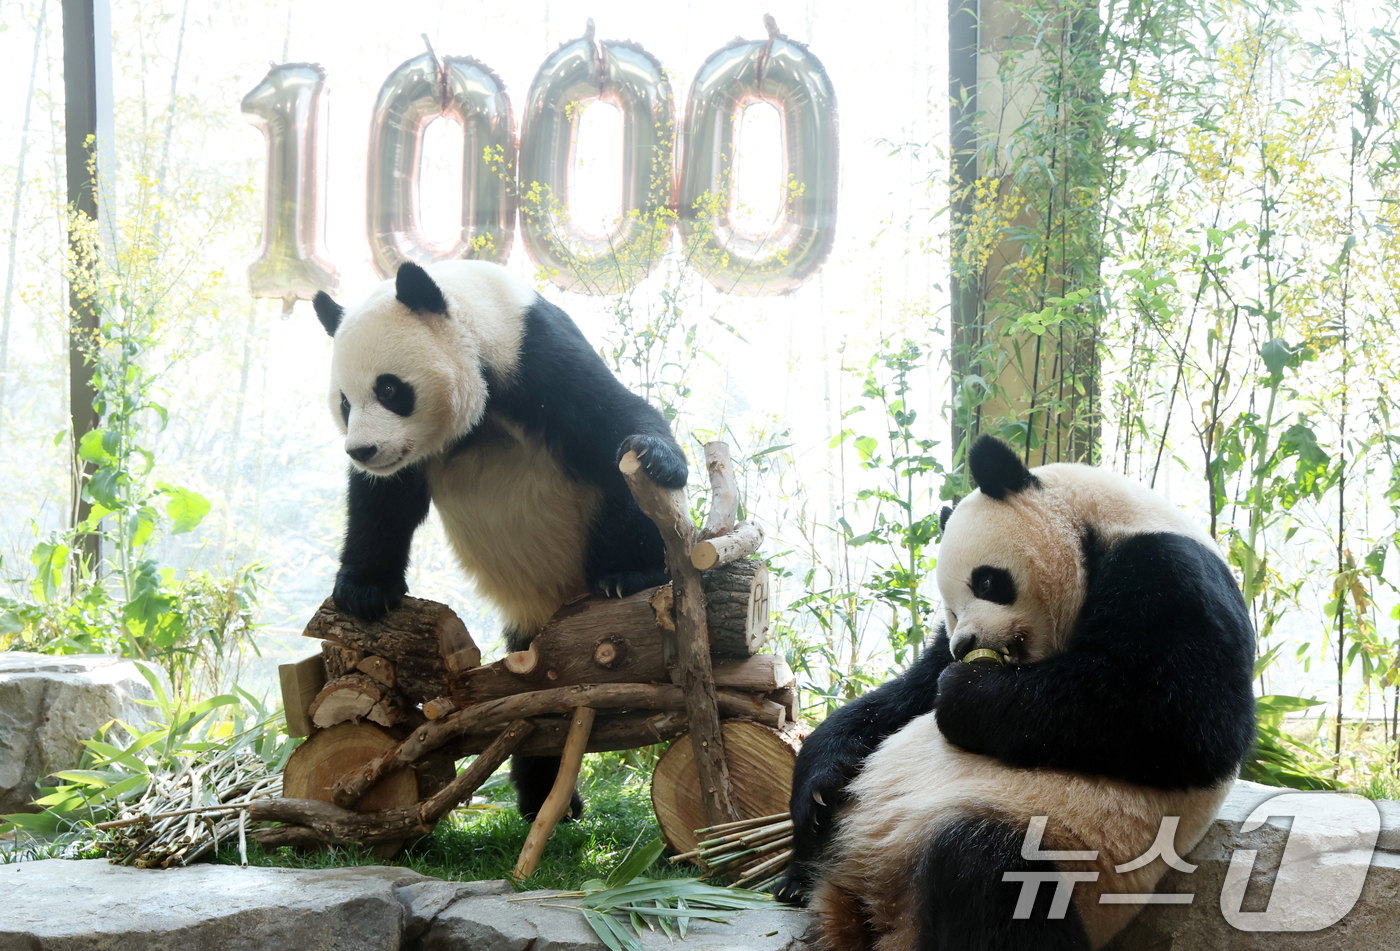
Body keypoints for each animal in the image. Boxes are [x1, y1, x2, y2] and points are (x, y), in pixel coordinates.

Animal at [311, 259, 687, 819]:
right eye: (343, 401)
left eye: (390, 389)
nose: (362, 450)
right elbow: (383, 502)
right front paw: (364, 591)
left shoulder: (536, 355)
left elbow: (615, 420)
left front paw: (658, 459)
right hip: (536, 650)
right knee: (533, 710)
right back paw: (544, 798)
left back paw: (626, 576)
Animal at [775, 435, 1256, 951]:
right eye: (949, 610)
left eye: (986, 580)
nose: (964, 645)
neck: (1100, 526)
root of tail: (881, 916)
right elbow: (900, 698)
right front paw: (818, 785)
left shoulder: (1170, 572)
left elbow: (1189, 717)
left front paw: (963, 693)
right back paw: (798, 878)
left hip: (1069, 852)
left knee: (990, 875)